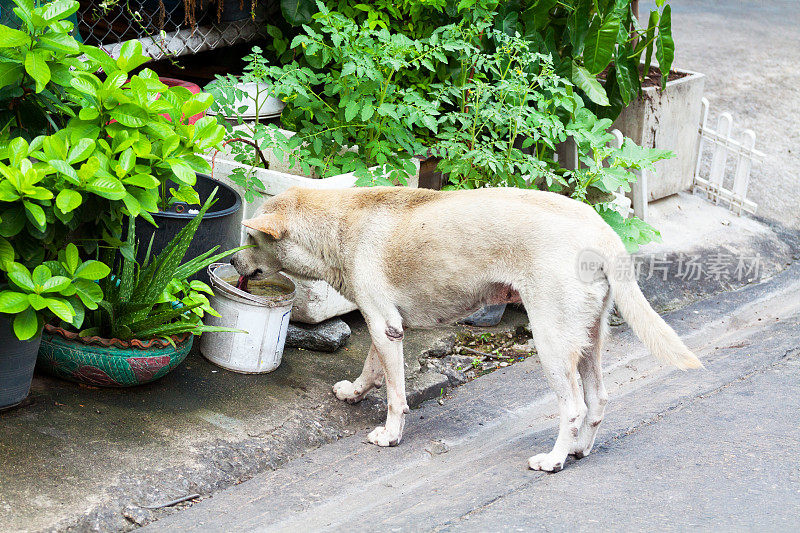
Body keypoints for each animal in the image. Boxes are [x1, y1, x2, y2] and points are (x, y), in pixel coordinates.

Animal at [231, 186, 700, 470]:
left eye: (251, 239)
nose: (231, 260)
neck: (340, 225)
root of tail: (600, 230)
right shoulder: (385, 325)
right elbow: (372, 368)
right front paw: (355, 392)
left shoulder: (383, 324)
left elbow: (396, 396)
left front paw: (390, 435)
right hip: (588, 341)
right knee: (598, 399)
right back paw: (581, 449)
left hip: (551, 343)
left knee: (574, 408)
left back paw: (554, 459)